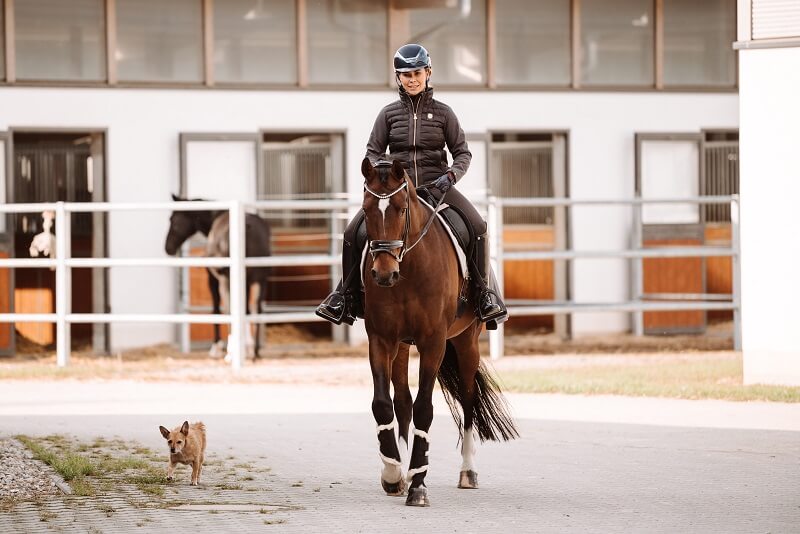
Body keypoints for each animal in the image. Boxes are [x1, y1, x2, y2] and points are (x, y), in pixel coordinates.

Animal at [165, 196, 272, 360]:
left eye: (173, 219)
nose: (167, 247)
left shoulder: (214, 280)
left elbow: (217, 309)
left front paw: (217, 348)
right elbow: (245, 310)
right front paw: (245, 347)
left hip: (230, 279)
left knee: (233, 308)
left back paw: (235, 351)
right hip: (260, 279)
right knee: (257, 309)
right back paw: (255, 351)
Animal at [358, 157, 520, 508]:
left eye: (402, 209)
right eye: (366, 210)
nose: (383, 274)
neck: (408, 271)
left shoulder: (433, 343)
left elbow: (425, 409)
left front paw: (418, 485)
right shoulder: (381, 339)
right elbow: (383, 404)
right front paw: (394, 474)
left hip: (466, 342)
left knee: (469, 399)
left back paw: (467, 472)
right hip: (402, 346)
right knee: (401, 400)